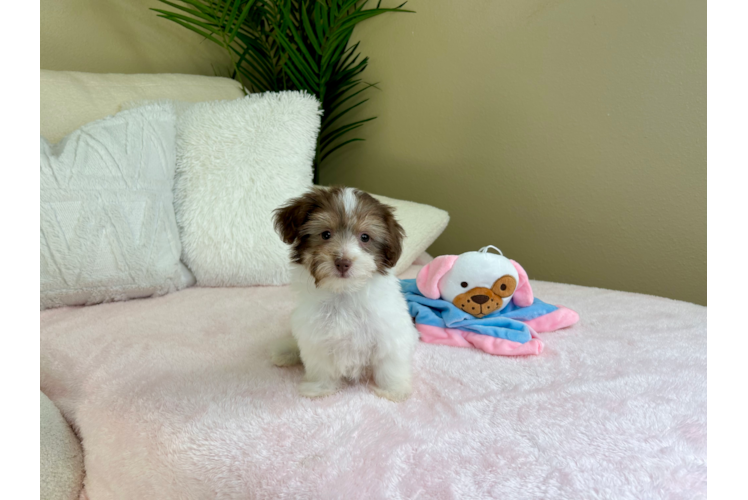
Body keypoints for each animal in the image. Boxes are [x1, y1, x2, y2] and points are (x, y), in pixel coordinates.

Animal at [270, 186, 420, 400]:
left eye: (365, 237)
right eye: (326, 234)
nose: (343, 262)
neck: (343, 294)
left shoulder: (389, 331)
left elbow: (390, 363)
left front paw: (393, 390)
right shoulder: (316, 335)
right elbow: (320, 365)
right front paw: (319, 388)